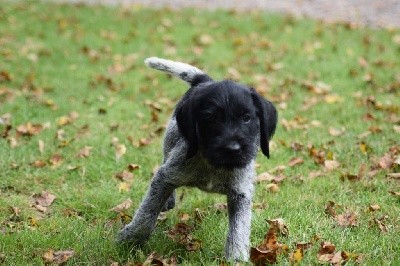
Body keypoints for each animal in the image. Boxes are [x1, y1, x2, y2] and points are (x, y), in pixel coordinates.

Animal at [117, 56, 276, 262]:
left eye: (247, 118)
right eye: (212, 118)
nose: (233, 149)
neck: (214, 165)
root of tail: (204, 81)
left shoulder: (241, 193)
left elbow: (239, 229)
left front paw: (236, 257)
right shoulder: (167, 175)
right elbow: (147, 212)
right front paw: (131, 238)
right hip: (170, 141)